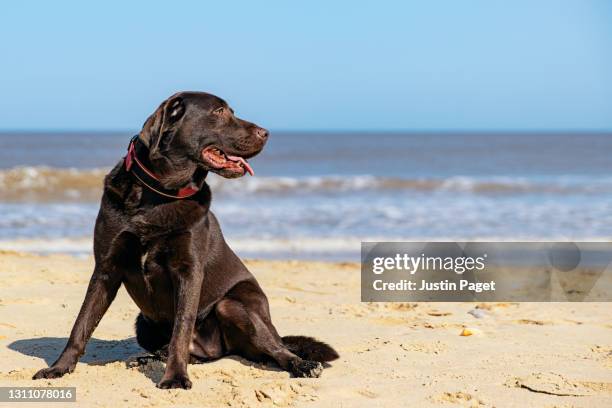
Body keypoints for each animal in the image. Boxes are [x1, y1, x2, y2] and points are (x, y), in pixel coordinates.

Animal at [32, 91, 340, 388]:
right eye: (220, 111)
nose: (266, 133)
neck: (160, 194)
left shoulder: (188, 271)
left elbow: (182, 327)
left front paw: (175, 378)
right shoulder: (106, 268)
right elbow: (81, 323)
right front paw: (59, 368)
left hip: (234, 306)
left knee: (275, 349)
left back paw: (303, 365)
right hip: (143, 323)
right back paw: (149, 358)